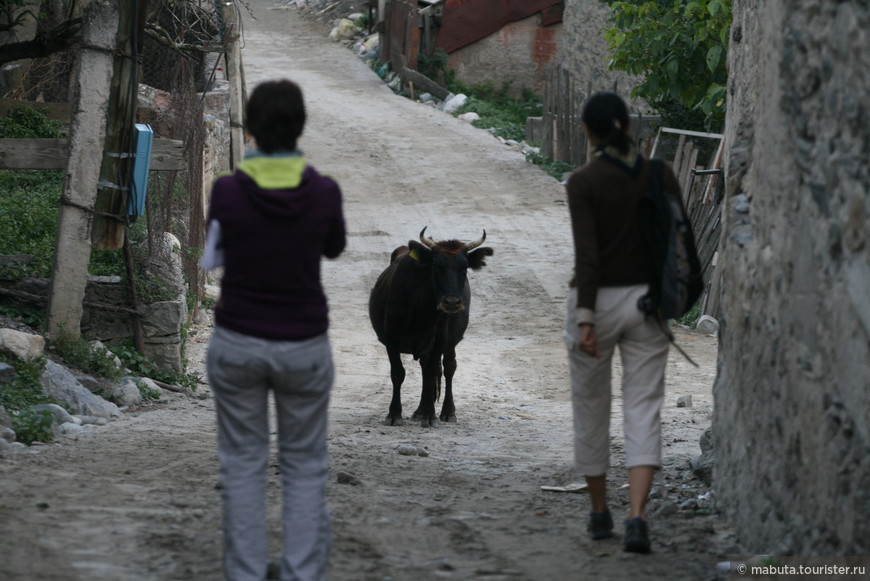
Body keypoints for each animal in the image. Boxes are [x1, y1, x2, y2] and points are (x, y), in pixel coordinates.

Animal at [370, 227, 498, 426]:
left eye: (464, 268)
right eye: (437, 266)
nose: (451, 302)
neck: (421, 310)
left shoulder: (440, 339)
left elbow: (432, 373)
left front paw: (430, 416)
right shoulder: (391, 337)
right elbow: (398, 373)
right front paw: (394, 414)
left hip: (450, 342)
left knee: (448, 367)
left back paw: (446, 412)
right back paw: (420, 411)